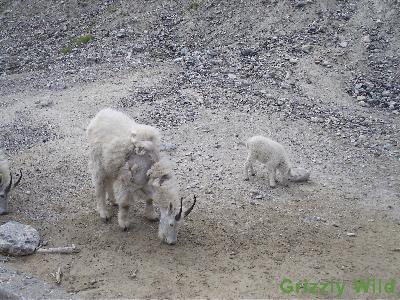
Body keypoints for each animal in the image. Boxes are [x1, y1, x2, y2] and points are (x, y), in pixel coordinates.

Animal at [86, 109, 196, 245]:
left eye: (179, 225)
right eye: (171, 224)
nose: (171, 242)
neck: (152, 165)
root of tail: (100, 115)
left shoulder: (145, 183)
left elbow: (149, 199)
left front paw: (151, 216)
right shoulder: (127, 181)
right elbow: (125, 205)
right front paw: (124, 224)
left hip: (110, 165)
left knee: (110, 181)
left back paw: (113, 201)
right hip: (97, 161)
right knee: (99, 186)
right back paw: (104, 214)